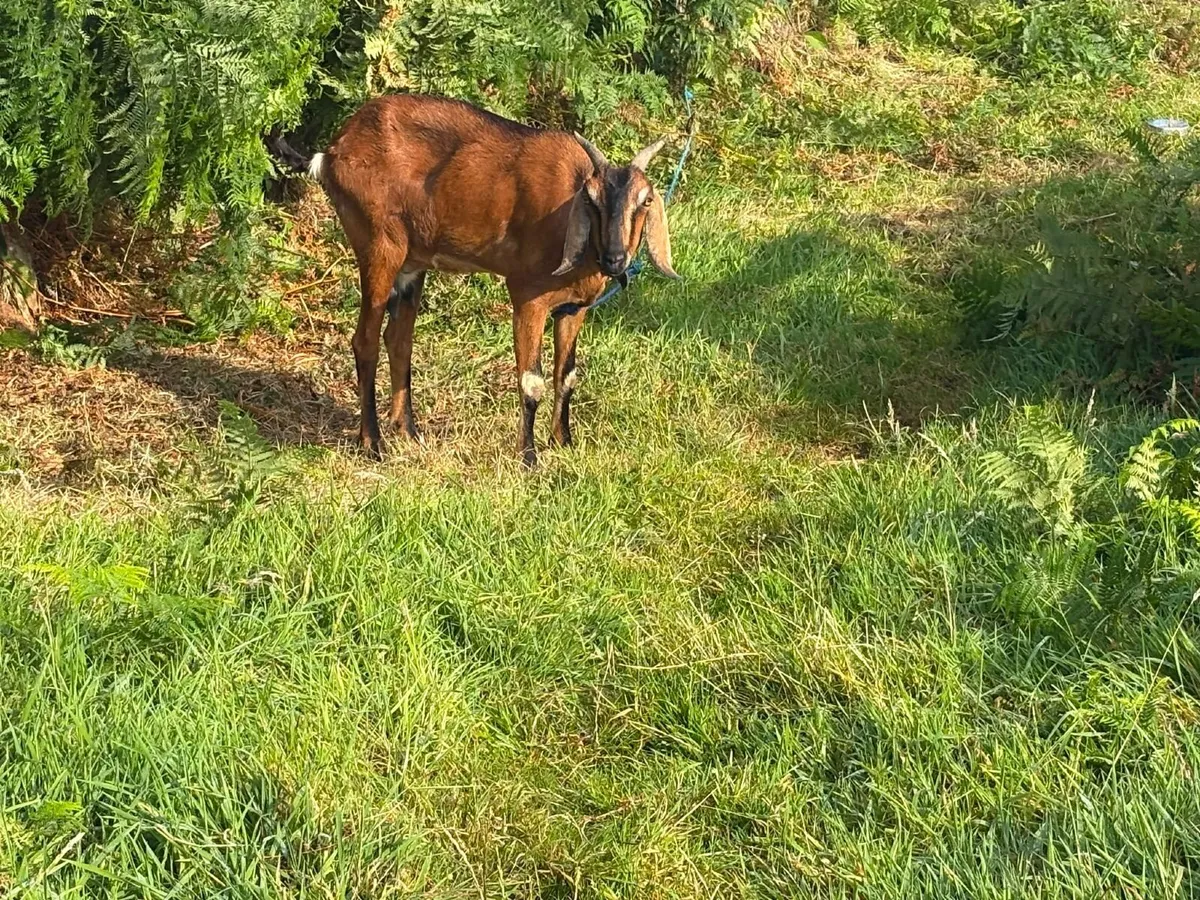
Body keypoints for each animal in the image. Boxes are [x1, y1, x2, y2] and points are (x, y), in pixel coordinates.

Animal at [270, 93, 678, 467]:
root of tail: (332, 152)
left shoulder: (573, 306)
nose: (615, 259)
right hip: (378, 245)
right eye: (591, 200)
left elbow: (568, 376)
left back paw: (409, 431)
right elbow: (531, 381)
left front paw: (564, 442)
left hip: (411, 262)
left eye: (644, 201)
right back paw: (372, 444)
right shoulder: (527, 295)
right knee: (365, 340)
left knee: (399, 340)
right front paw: (528, 458)